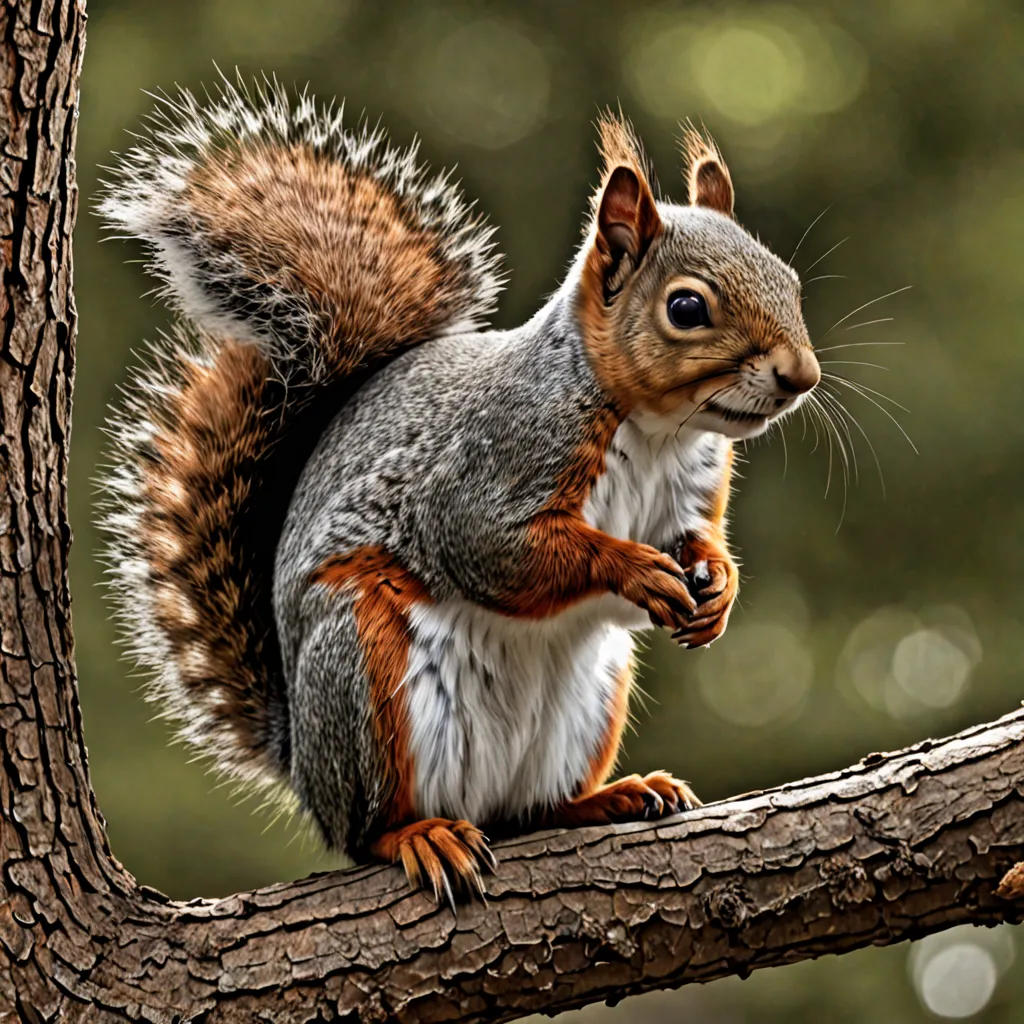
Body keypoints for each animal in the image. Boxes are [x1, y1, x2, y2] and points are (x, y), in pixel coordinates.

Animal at [98, 77, 820, 902]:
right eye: (687, 307)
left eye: (790, 281)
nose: (803, 376)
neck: (657, 429)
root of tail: (304, 764)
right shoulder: (492, 464)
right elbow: (492, 549)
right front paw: (634, 568)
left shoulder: (691, 490)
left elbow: (698, 539)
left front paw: (720, 585)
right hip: (364, 666)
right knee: (369, 830)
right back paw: (420, 835)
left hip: (590, 697)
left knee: (531, 812)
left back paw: (609, 797)